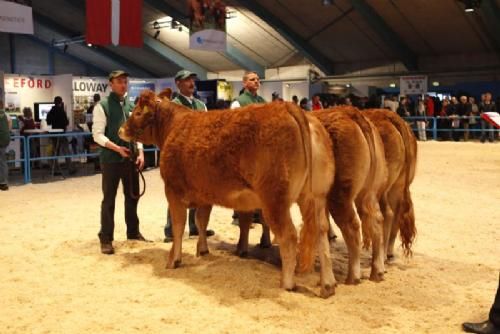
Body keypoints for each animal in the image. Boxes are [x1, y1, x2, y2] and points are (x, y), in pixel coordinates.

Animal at [117, 89, 336, 298]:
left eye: (137, 112)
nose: (120, 130)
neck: (173, 127)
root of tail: (290, 108)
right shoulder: (204, 195)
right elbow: (201, 221)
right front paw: (202, 249)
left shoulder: (173, 190)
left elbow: (179, 226)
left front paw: (173, 260)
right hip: (315, 196)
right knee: (321, 230)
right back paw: (328, 285)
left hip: (275, 199)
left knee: (289, 235)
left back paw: (287, 283)